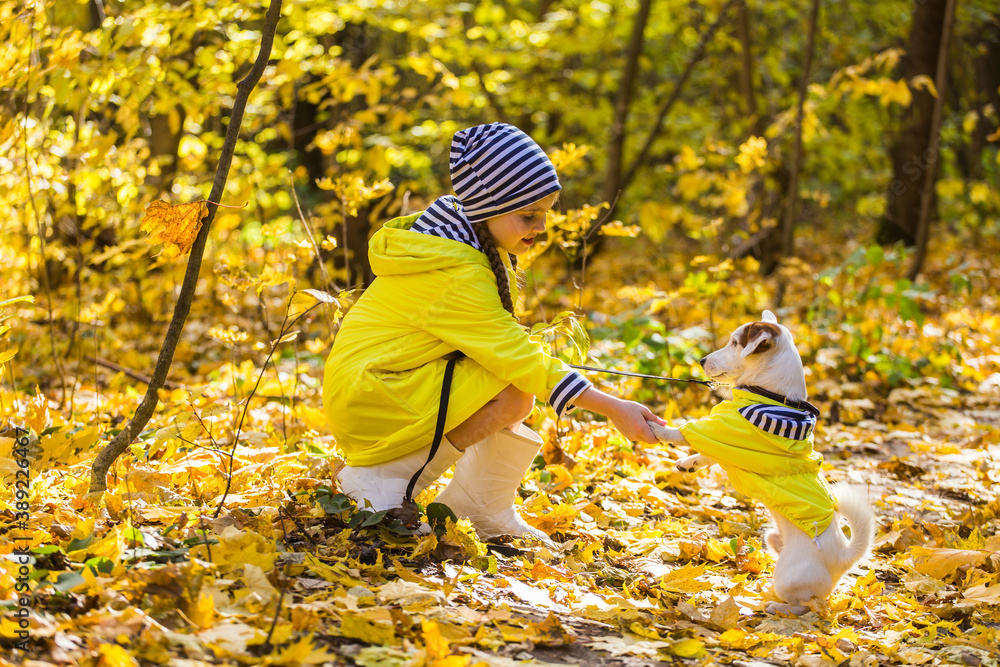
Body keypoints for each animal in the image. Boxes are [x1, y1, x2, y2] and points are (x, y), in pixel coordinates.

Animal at [652, 312, 872, 616]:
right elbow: (706, 454)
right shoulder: (727, 443)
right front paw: (689, 463)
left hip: (789, 577)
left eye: (735, 343)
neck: (771, 396)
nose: (701, 360)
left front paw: (655, 428)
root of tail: (844, 557)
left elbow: (685, 432)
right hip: (771, 538)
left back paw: (775, 606)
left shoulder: (724, 431)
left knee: (810, 606)